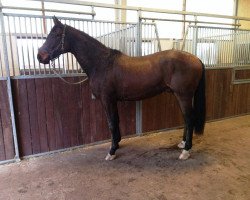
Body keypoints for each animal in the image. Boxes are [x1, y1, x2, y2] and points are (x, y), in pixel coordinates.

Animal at [37, 17, 205, 161]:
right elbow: (116, 121)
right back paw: (183, 144)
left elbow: (111, 123)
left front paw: (111, 152)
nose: (40, 56)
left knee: (189, 119)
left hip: (183, 95)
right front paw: (116, 144)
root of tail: (196, 59)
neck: (101, 63)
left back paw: (186, 151)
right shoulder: (112, 100)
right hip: (181, 95)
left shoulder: (107, 99)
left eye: (57, 34)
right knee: (186, 118)